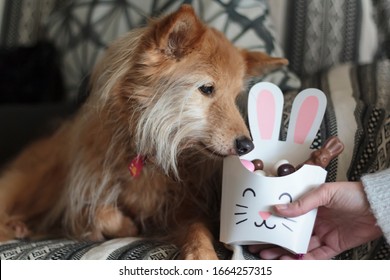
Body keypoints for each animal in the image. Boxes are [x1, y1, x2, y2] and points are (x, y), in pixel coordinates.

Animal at [0, 4, 286, 260]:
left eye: (235, 97)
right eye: (207, 89)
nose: (247, 146)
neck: (149, 153)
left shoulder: (186, 208)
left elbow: (197, 229)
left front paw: (202, 253)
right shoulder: (76, 200)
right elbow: (101, 212)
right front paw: (126, 227)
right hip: (26, 181)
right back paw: (17, 226)